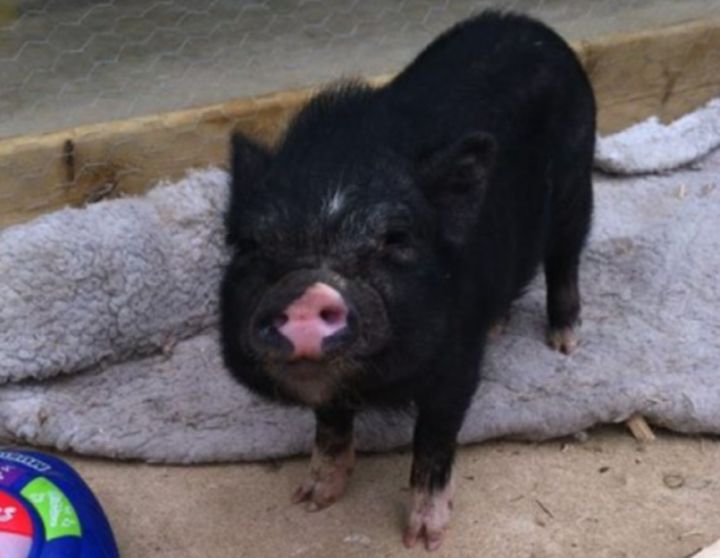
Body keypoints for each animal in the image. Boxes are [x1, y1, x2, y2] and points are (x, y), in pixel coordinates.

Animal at [220, 10, 594, 551]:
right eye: (250, 245)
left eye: (394, 240)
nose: (308, 289)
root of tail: (532, 25)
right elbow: (330, 425)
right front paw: (311, 499)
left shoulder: (456, 365)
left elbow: (433, 440)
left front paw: (424, 539)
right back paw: (499, 328)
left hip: (575, 179)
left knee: (566, 256)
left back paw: (564, 343)